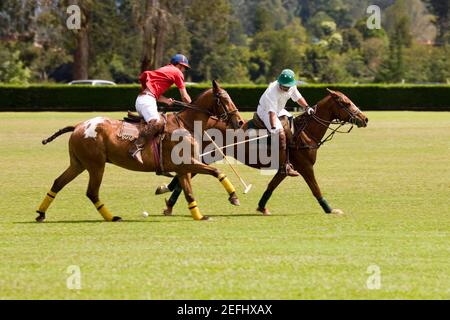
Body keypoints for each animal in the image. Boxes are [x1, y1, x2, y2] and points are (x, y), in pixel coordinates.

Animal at [36, 80, 244, 222]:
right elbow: (217, 171)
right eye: (225, 99)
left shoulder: (183, 168)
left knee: (58, 183)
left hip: (79, 163)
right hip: (96, 165)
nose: (240, 121)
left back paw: (41, 213)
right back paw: (112, 217)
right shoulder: (188, 163)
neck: (187, 124)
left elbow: (189, 192)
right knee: (92, 192)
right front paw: (233, 197)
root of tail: (78, 125)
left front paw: (198, 216)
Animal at [156, 89, 368, 216]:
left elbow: (271, 185)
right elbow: (316, 189)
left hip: (210, 156)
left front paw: (261, 206)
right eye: (346, 103)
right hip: (209, 155)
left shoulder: (285, 168)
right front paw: (330, 209)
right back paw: (169, 202)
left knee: (187, 174)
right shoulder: (305, 166)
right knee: (187, 174)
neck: (306, 132)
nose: (365, 119)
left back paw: (167, 196)